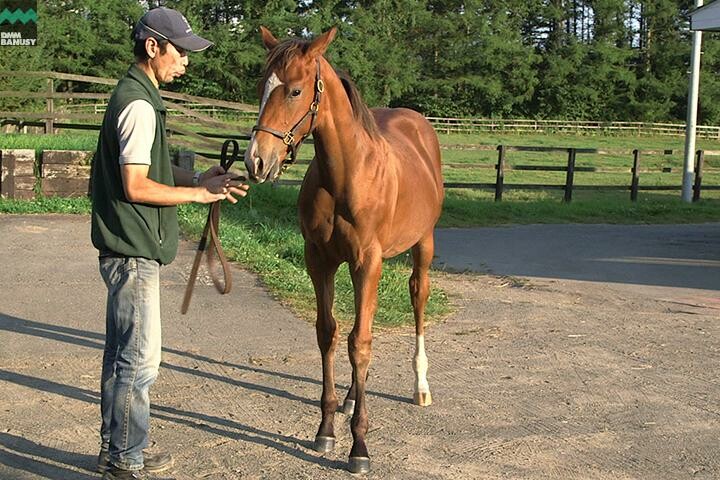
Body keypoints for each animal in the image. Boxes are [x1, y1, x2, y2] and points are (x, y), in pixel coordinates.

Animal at [245, 26, 442, 472]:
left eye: (295, 90)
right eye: (261, 88)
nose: (256, 162)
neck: (348, 174)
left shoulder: (366, 262)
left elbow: (361, 343)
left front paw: (360, 446)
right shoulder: (320, 260)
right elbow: (331, 334)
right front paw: (326, 429)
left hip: (424, 244)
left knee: (418, 299)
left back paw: (421, 386)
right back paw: (352, 398)